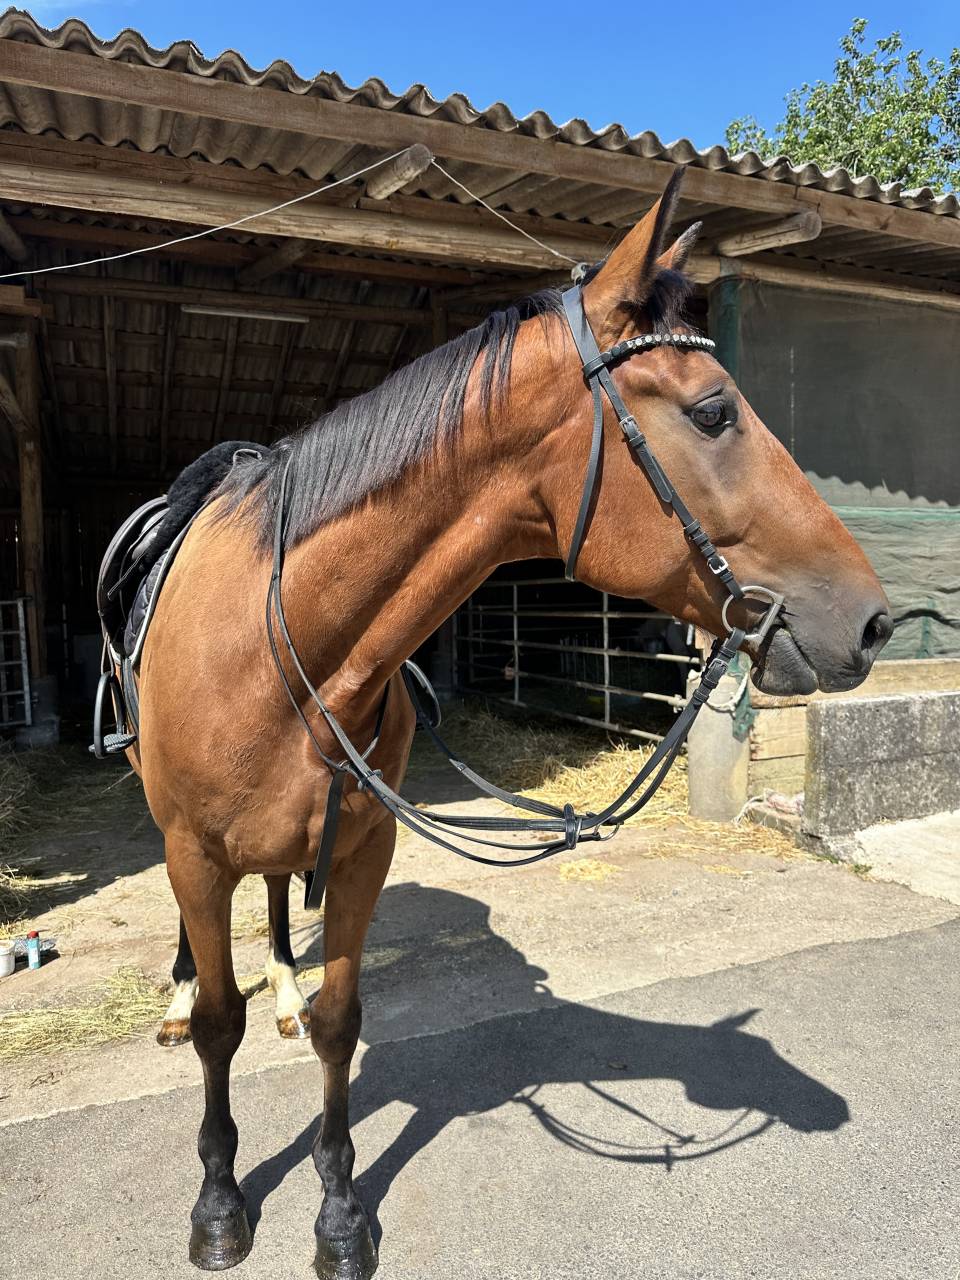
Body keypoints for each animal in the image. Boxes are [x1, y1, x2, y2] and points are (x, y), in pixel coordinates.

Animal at [125, 171, 891, 1276]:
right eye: (713, 411)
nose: (872, 620)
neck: (277, 646)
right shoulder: (193, 848)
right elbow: (219, 1029)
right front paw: (221, 1200)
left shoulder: (362, 847)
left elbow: (341, 1021)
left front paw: (339, 1211)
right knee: (207, 963)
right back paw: (187, 997)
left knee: (274, 909)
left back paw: (279, 987)